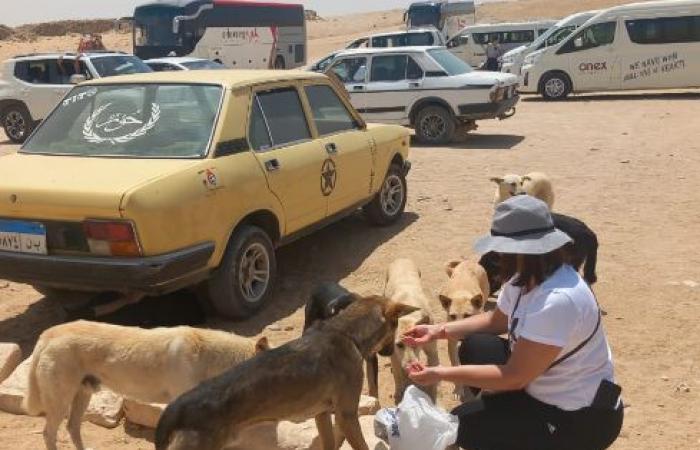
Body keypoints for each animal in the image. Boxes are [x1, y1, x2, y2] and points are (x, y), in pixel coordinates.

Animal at [154, 296, 416, 450]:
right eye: (395, 325)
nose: (390, 351)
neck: (346, 332)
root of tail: (177, 408)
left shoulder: (323, 413)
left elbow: (329, 443)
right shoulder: (347, 415)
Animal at [386, 258, 440, 402]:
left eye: (415, 343)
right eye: (399, 345)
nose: (409, 366)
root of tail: (401, 258)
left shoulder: (432, 350)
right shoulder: (394, 355)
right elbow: (397, 376)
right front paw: (399, 393)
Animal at [440, 258, 490, 400]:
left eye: (467, 316)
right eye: (452, 316)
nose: (459, 334)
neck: (462, 295)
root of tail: (468, 261)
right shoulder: (451, 344)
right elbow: (455, 366)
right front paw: (458, 389)